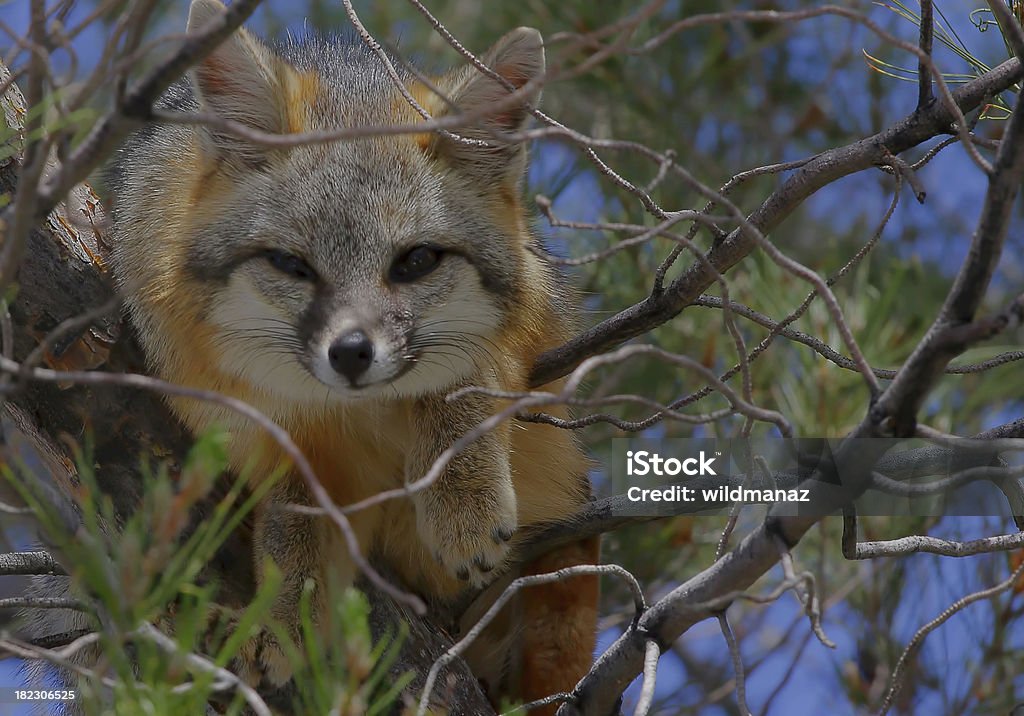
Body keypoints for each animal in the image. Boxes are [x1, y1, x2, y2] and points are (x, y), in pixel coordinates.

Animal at [103, 0, 598, 712]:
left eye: (416, 262)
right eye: (291, 265)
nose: (352, 354)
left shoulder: (534, 326)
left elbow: (465, 380)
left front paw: (461, 500)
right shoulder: (247, 421)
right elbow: (294, 524)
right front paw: (285, 618)